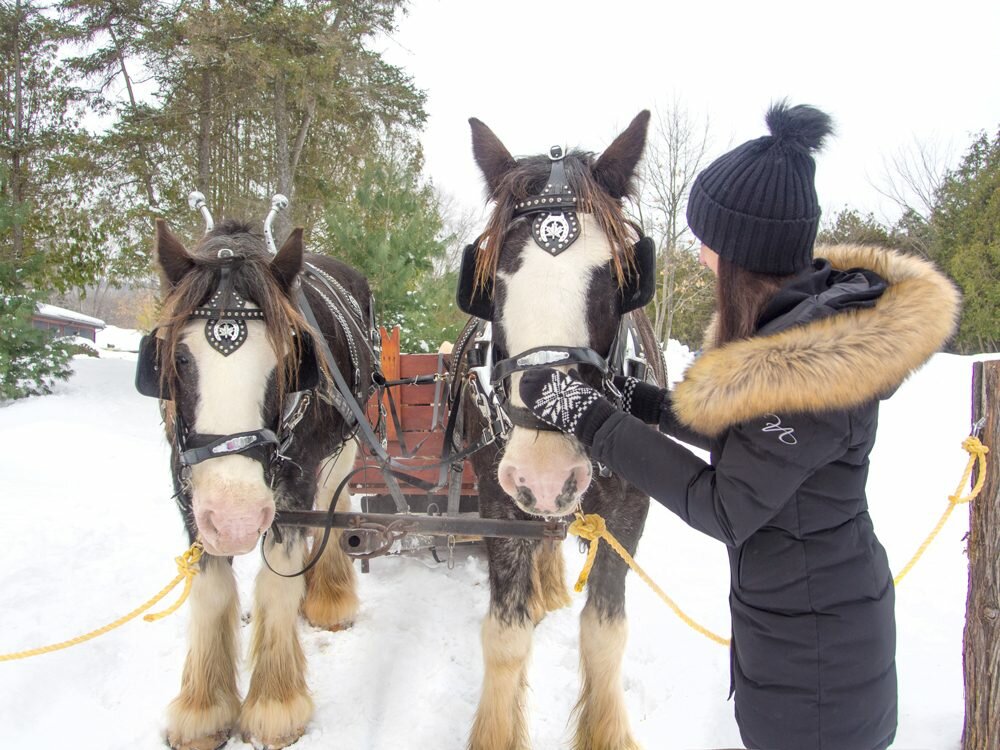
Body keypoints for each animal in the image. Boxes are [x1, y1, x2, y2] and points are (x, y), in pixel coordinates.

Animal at [138, 220, 376, 748]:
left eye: (288, 357)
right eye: (178, 359)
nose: (237, 520)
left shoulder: (295, 483)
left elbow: (276, 580)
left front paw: (274, 704)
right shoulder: (191, 491)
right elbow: (211, 589)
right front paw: (204, 709)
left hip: (346, 442)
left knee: (333, 506)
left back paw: (327, 597)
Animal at [456, 113, 664, 750]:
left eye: (616, 278)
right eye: (491, 280)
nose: (546, 475)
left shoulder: (629, 510)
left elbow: (604, 634)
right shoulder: (498, 498)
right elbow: (504, 634)